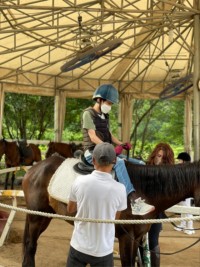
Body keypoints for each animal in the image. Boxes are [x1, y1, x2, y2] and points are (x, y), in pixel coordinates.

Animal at [21, 155, 200, 267]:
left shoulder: (137, 238)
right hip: (36, 217)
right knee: (31, 246)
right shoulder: (126, 237)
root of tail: (34, 169)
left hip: (45, 216)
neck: (144, 190)